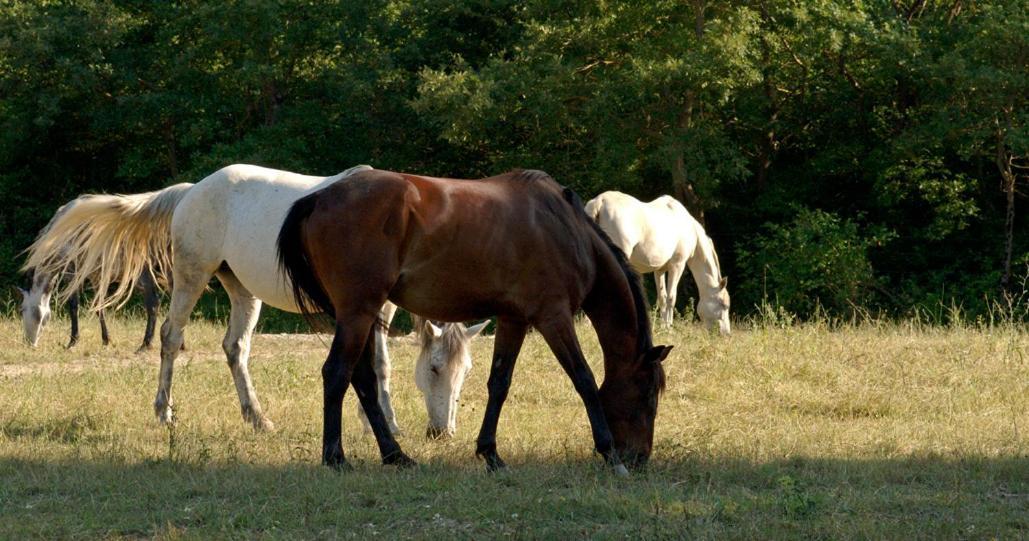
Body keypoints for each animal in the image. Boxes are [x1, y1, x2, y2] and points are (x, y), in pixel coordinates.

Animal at [22, 165, 477, 440]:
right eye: (435, 368)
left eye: (466, 371)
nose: (444, 432)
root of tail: (192, 190)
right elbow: (372, 365)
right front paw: (383, 425)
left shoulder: (376, 310)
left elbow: (375, 365)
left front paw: (379, 423)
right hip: (191, 277)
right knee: (170, 337)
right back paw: (164, 413)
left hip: (243, 290)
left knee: (234, 348)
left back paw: (257, 418)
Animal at [277, 169, 670, 475]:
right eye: (649, 394)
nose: (639, 458)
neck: (566, 231)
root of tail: (318, 199)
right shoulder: (553, 317)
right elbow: (584, 380)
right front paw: (609, 454)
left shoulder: (513, 319)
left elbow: (499, 383)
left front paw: (490, 454)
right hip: (358, 312)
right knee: (337, 373)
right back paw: (336, 458)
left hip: (359, 315)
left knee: (362, 381)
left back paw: (395, 455)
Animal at [588, 191, 732, 335]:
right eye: (724, 305)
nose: (726, 334)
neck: (690, 230)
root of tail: (600, 201)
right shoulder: (677, 265)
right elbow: (671, 298)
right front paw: (669, 328)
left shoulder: (659, 270)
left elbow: (662, 297)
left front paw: (662, 327)